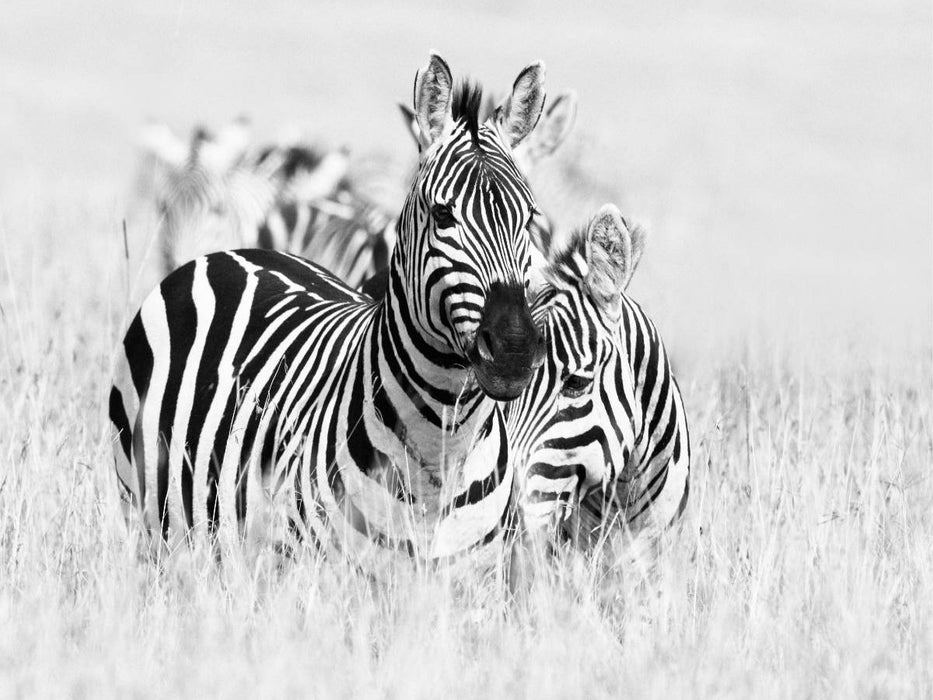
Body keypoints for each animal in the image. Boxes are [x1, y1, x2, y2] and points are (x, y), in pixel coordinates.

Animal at [109, 54, 550, 568]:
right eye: (443, 215)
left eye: (530, 219)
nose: (514, 350)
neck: (441, 447)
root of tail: (230, 253)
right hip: (148, 517)